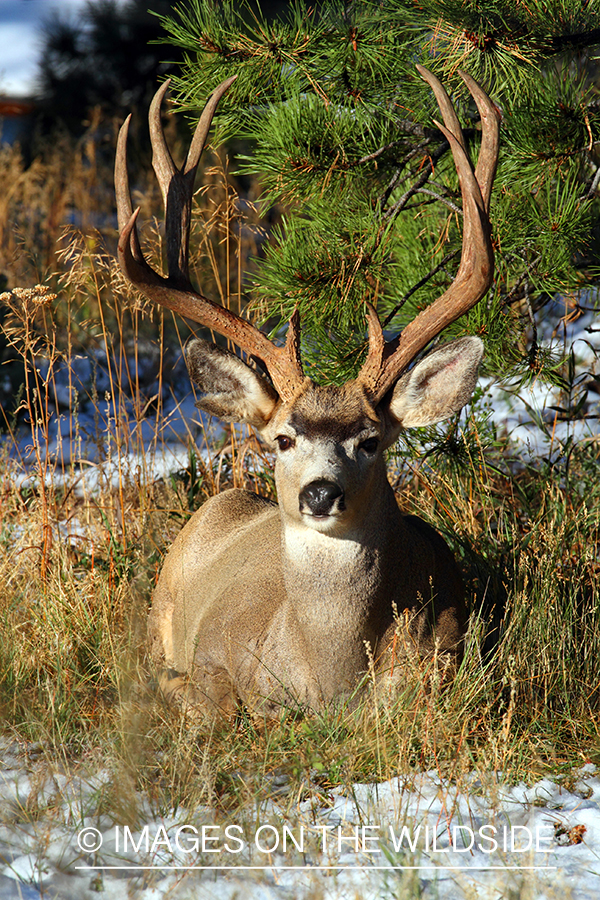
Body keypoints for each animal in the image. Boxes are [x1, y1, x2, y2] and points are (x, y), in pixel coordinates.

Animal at [115, 65, 499, 719]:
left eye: (370, 440)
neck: (330, 677)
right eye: (282, 439)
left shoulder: (444, 662)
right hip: (159, 607)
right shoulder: (214, 654)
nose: (319, 493)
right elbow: (206, 707)